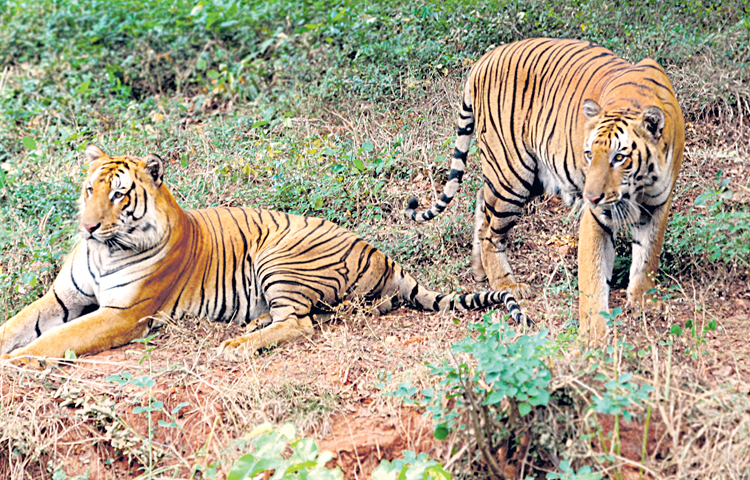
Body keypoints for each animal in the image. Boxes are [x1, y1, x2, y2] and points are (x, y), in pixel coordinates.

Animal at [0, 145, 526, 365]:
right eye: (89, 190)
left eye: (118, 195)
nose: (87, 227)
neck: (105, 251)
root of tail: (380, 252)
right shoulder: (62, 296)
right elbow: (17, 324)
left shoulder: (122, 313)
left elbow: (56, 339)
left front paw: (20, 362)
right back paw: (251, 327)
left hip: (278, 256)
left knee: (300, 323)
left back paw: (237, 345)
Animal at [406, 38, 685, 341]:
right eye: (589, 154)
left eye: (619, 158)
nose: (590, 196)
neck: (637, 186)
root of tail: (483, 59)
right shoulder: (597, 216)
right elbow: (593, 275)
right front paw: (594, 336)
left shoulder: (658, 206)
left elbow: (647, 259)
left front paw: (643, 302)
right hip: (512, 174)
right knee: (491, 232)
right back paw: (507, 285)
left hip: (526, 178)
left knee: (481, 200)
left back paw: (480, 272)